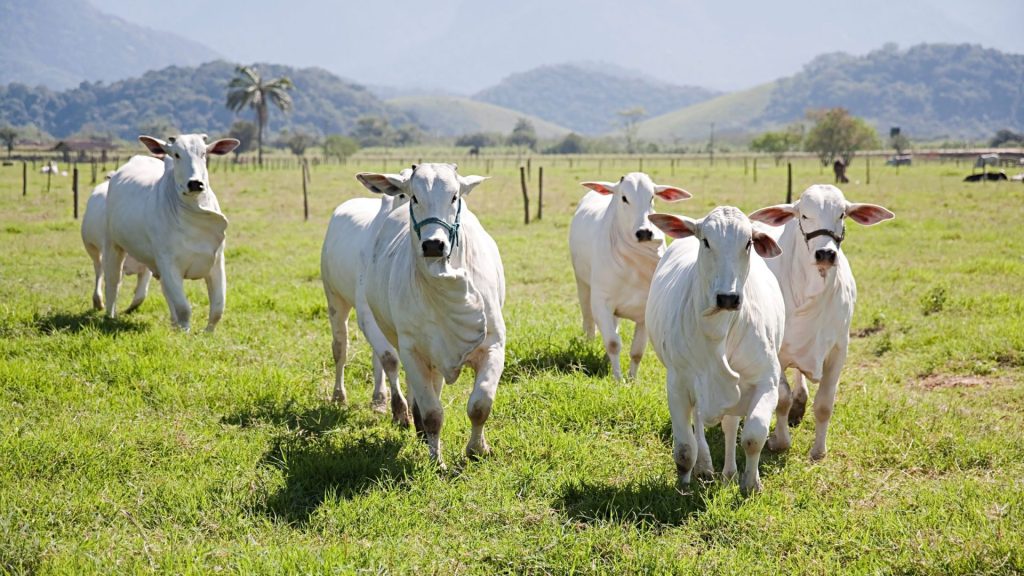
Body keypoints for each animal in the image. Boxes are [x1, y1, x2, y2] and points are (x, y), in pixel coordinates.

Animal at [104, 134, 238, 330]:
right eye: (176, 154)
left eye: (203, 153)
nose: (195, 183)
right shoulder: (169, 263)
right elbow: (184, 307)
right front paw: (185, 331)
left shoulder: (217, 261)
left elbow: (218, 308)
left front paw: (206, 333)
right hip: (113, 245)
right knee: (112, 281)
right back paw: (110, 316)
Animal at [323, 175, 411, 422]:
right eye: (402, 194)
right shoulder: (366, 314)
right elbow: (390, 358)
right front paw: (400, 411)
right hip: (335, 300)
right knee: (340, 347)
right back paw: (338, 395)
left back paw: (379, 398)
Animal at [565, 172, 692, 379]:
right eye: (624, 198)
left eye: (652, 197)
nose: (644, 232)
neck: (632, 267)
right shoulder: (601, 302)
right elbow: (613, 343)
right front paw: (618, 379)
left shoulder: (644, 312)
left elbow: (637, 351)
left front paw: (632, 379)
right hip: (582, 285)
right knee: (589, 324)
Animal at [647, 204, 782, 494]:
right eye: (706, 241)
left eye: (748, 243)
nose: (728, 297)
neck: (717, 330)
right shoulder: (678, 384)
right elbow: (684, 448)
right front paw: (683, 486)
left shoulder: (767, 380)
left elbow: (753, 436)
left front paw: (751, 483)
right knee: (699, 424)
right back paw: (705, 467)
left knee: (730, 426)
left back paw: (729, 473)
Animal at [749, 183, 892, 457]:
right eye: (804, 215)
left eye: (842, 214)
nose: (825, 253)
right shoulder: (776, 351)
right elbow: (782, 399)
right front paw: (779, 441)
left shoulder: (838, 349)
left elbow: (825, 404)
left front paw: (818, 451)